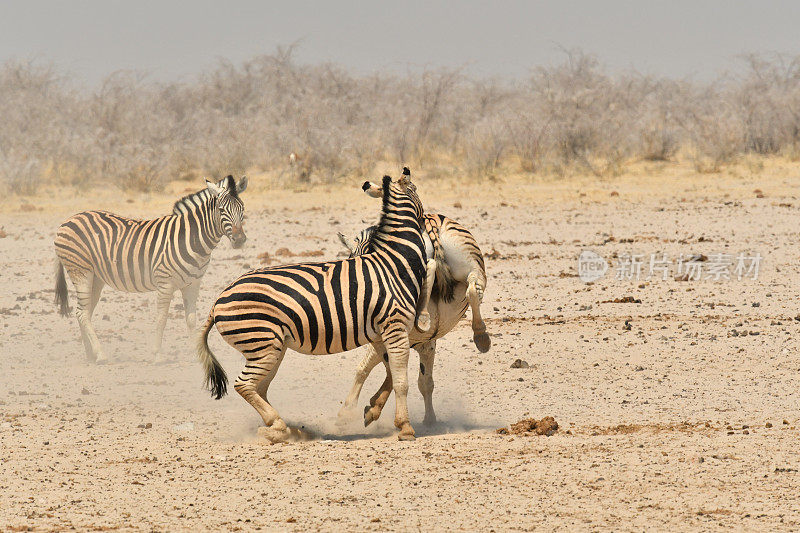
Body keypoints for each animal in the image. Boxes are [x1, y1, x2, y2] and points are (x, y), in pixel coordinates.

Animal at [54, 175, 247, 362]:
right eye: (221, 210)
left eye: (242, 210)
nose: (239, 240)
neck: (191, 239)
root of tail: (69, 219)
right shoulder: (165, 284)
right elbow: (161, 319)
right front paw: (157, 355)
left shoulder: (192, 284)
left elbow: (191, 319)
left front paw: (197, 354)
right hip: (81, 271)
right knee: (82, 313)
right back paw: (100, 355)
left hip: (96, 277)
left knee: (85, 311)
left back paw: (90, 354)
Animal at [199, 167, 438, 440]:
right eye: (417, 190)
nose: (431, 225)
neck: (396, 261)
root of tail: (218, 299)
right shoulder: (394, 326)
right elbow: (400, 381)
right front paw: (405, 427)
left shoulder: (381, 334)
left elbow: (389, 374)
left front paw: (372, 410)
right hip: (262, 344)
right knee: (244, 384)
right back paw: (278, 425)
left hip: (270, 347)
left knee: (260, 388)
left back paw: (282, 428)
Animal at [336, 197, 488, 426]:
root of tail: (429, 221)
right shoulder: (426, 344)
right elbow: (421, 381)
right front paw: (428, 419)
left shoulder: (384, 336)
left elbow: (365, 369)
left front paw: (353, 411)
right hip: (473, 266)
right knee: (472, 287)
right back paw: (481, 336)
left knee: (432, 267)